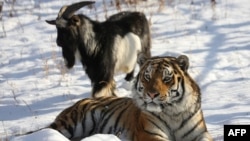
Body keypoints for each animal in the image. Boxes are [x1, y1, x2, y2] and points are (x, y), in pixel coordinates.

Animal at [46, 54, 212, 140]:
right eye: (147, 77)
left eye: (166, 78)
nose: (152, 94)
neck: (173, 113)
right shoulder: (150, 134)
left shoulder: (200, 133)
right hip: (72, 123)